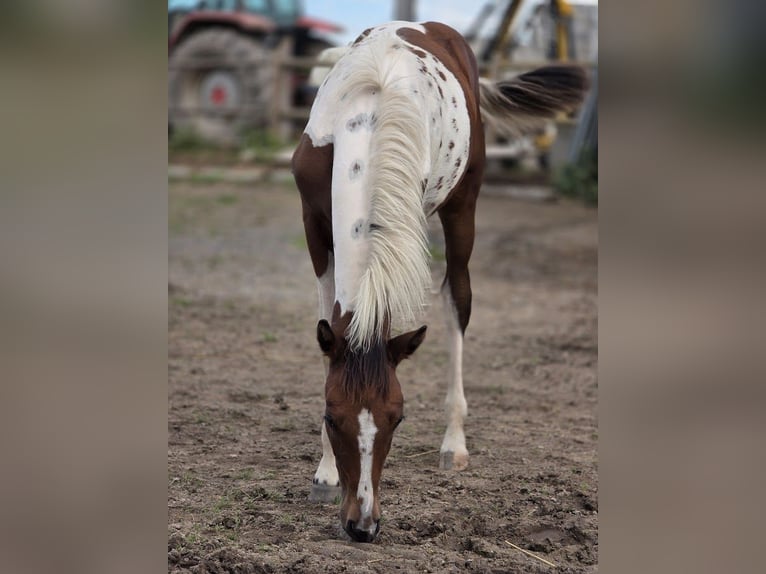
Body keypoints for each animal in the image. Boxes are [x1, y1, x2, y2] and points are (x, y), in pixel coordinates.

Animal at [292, 21, 587, 543]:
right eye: (331, 416)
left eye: (398, 418)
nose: (363, 525)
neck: (366, 119)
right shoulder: (312, 222)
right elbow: (327, 326)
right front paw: (324, 472)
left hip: (461, 208)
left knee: (457, 300)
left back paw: (454, 442)